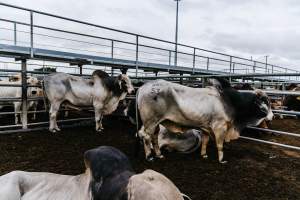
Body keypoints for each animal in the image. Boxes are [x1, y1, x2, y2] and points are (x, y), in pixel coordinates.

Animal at [136, 77, 274, 162]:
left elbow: (205, 141)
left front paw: (204, 154)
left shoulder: (206, 127)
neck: (231, 101)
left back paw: (159, 154)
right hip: (150, 121)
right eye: (264, 102)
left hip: (156, 122)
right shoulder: (220, 127)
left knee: (154, 136)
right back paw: (149, 156)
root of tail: (143, 87)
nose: (272, 116)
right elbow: (220, 144)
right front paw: (221, 159)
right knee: (145, 136)